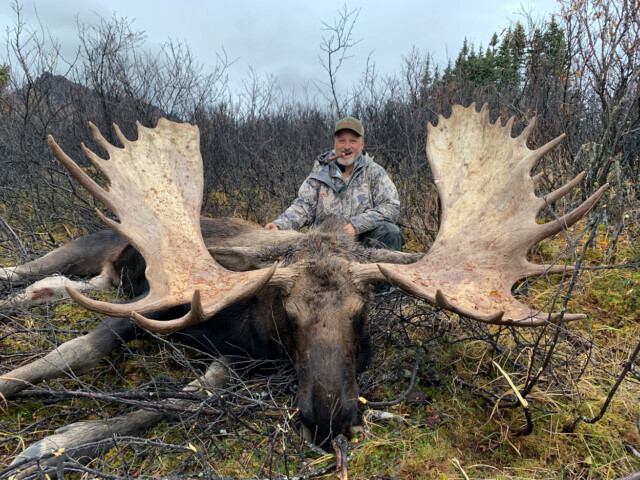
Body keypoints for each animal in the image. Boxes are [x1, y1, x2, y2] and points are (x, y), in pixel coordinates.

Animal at [0, 103, 608, 477]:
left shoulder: (241, 360)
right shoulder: (151, 306)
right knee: (33, 268)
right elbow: (74, 350)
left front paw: (56, 443)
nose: (331, 416)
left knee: (66, 285)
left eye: (363, 312)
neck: (250, 325)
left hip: (102, 273)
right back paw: (14, 290)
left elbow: (183, 397)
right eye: (287, 311)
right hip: (90, 244)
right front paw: (37, 435)